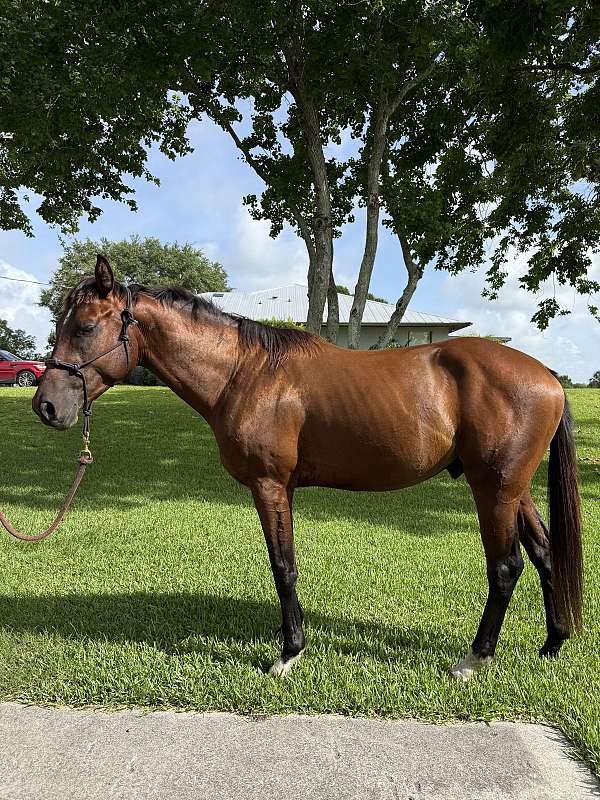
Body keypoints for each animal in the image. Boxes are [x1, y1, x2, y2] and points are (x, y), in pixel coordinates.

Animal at [32, 255, 583, 681]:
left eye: (85, 327)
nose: (47, 407)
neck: (244, 372)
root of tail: (547, 376)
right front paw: (286, 636)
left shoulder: (270, 485)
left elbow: (283, 565)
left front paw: (288, 653)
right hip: (514, 489)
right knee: (544, 554)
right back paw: (552, 644)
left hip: (493, 489)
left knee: (507, 566)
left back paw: (473, 660)